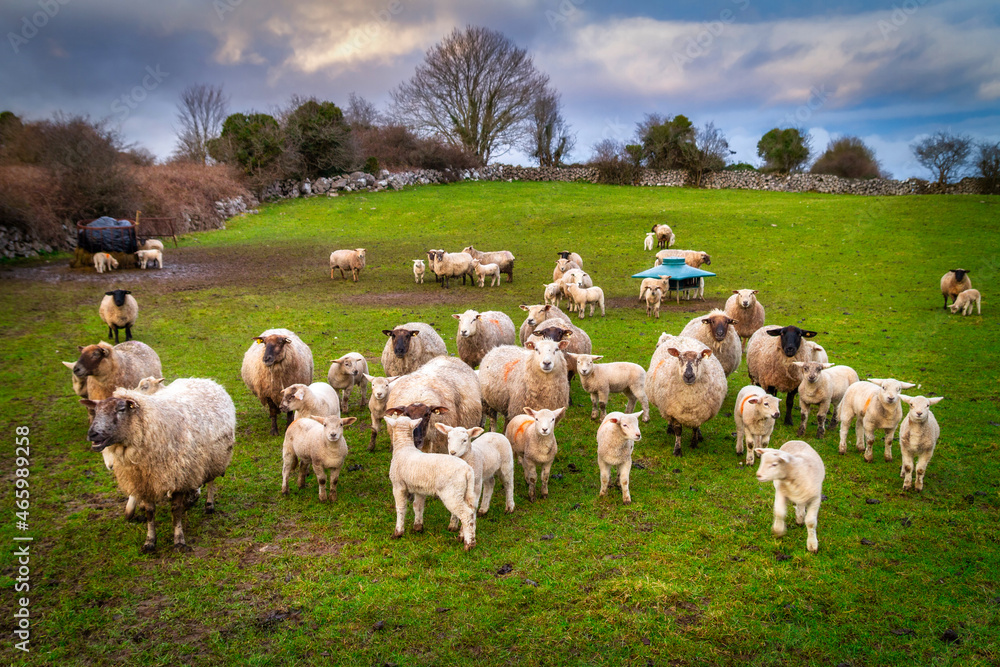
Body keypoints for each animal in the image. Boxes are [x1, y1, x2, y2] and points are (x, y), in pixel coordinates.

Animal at [81, 378, 235, 556]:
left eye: (120, 409)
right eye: (96, 411)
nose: (92, 434)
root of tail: (205, 380)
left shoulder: (178, 476)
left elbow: (176, 511)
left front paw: (179, 541)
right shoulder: (144, 482)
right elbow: (149, 513)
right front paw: (149, 542)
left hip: (215, 458)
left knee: (210, 481)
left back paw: (209, 505)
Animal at [382, 414, 476, 552]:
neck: (404, 447)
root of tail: (467, 470)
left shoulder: (398, 485)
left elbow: (401, 508)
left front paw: (398, 532)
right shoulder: (419, 488)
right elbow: (418, 506)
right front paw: (418, 527)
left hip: (452, 493)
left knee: (466, 514)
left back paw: (468, 545)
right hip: (467, 491)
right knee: (472, 511)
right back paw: (465, 537)